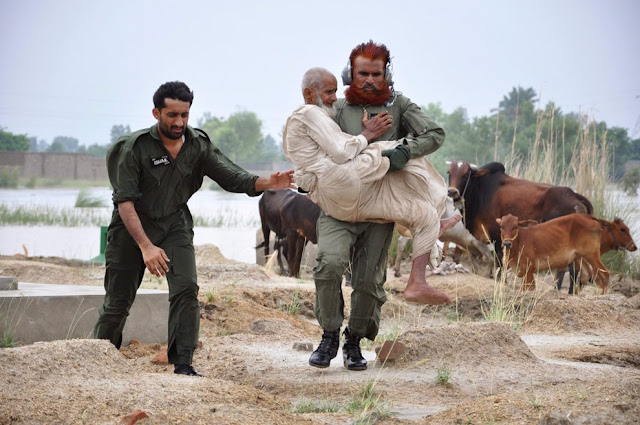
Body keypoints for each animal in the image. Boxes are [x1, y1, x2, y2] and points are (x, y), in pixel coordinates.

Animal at [444, 161, 592, 256]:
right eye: (449, 172)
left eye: (466, 174)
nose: (452, 191)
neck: (480, 190)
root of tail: (573, 195)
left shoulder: (498, 238)